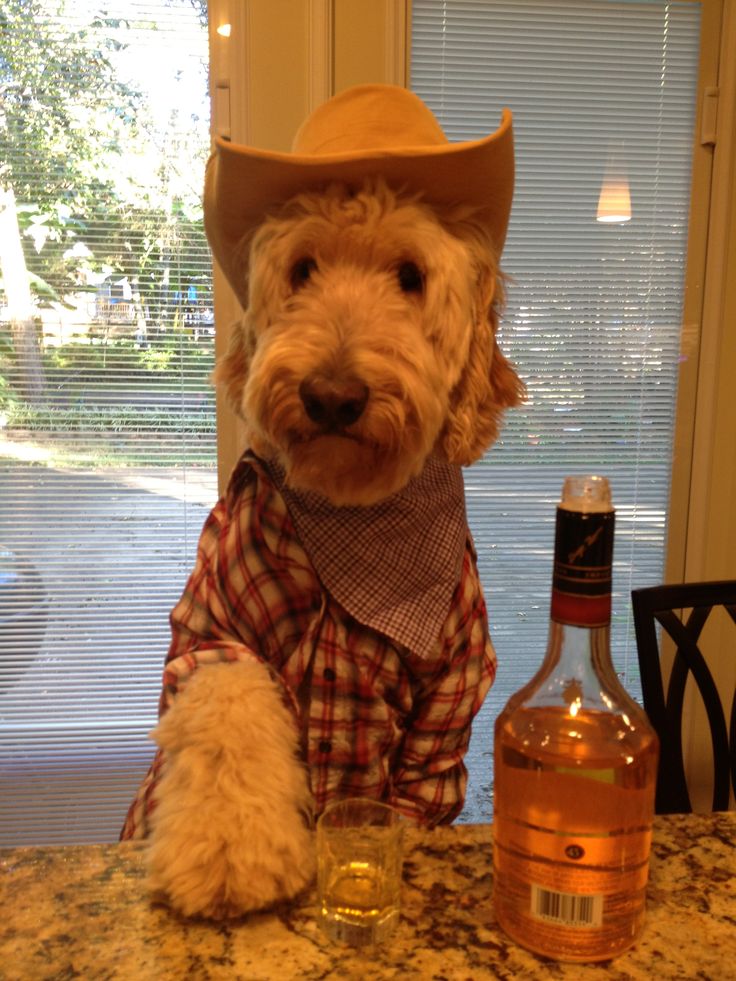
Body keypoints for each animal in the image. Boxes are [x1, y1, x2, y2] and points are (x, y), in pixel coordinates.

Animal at [122, 84, 524, 920]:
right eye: (302, 268)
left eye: (410, 275)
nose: (332, 395)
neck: (361, 518)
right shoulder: (214, 624)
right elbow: (227, 697)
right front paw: (231, 854)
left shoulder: (448, 704)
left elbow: (412, 797)